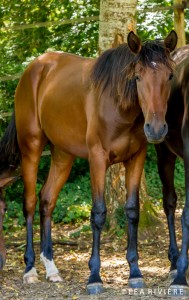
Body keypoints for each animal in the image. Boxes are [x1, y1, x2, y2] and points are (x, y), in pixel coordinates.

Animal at [0, 31, 176, 296]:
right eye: (137, 77)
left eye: (170, 76)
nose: (156, 129)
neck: (118, 105)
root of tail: (35, 67)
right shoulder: (97, 160)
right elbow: (98, 214)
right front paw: (94, 277)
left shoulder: (136, 159)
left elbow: (132, 211)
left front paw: (135, 272)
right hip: (31, 148)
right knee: (29, 203)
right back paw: (30, 269)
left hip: (63, 155)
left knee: (47, 200)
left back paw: (51, 268)